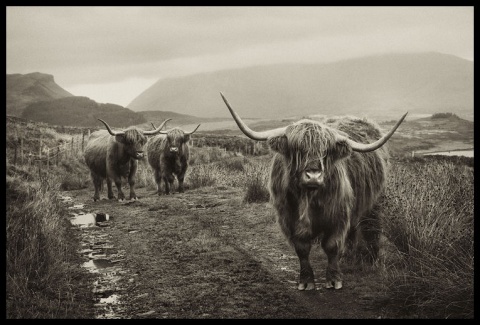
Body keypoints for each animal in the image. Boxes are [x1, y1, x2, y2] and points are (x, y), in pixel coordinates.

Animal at [219, 92, 406, 290]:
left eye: (326, 152)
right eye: (297, 150)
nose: (313, 175)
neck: (309, 199)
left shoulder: (338, 215)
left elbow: (332, 246)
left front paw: (334, 279)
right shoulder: (288, 218)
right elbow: (302, 249)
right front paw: (306, 280)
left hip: (375, 202)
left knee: (372, 228)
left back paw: (371, 259)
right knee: (353, 230)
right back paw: (348, 257)